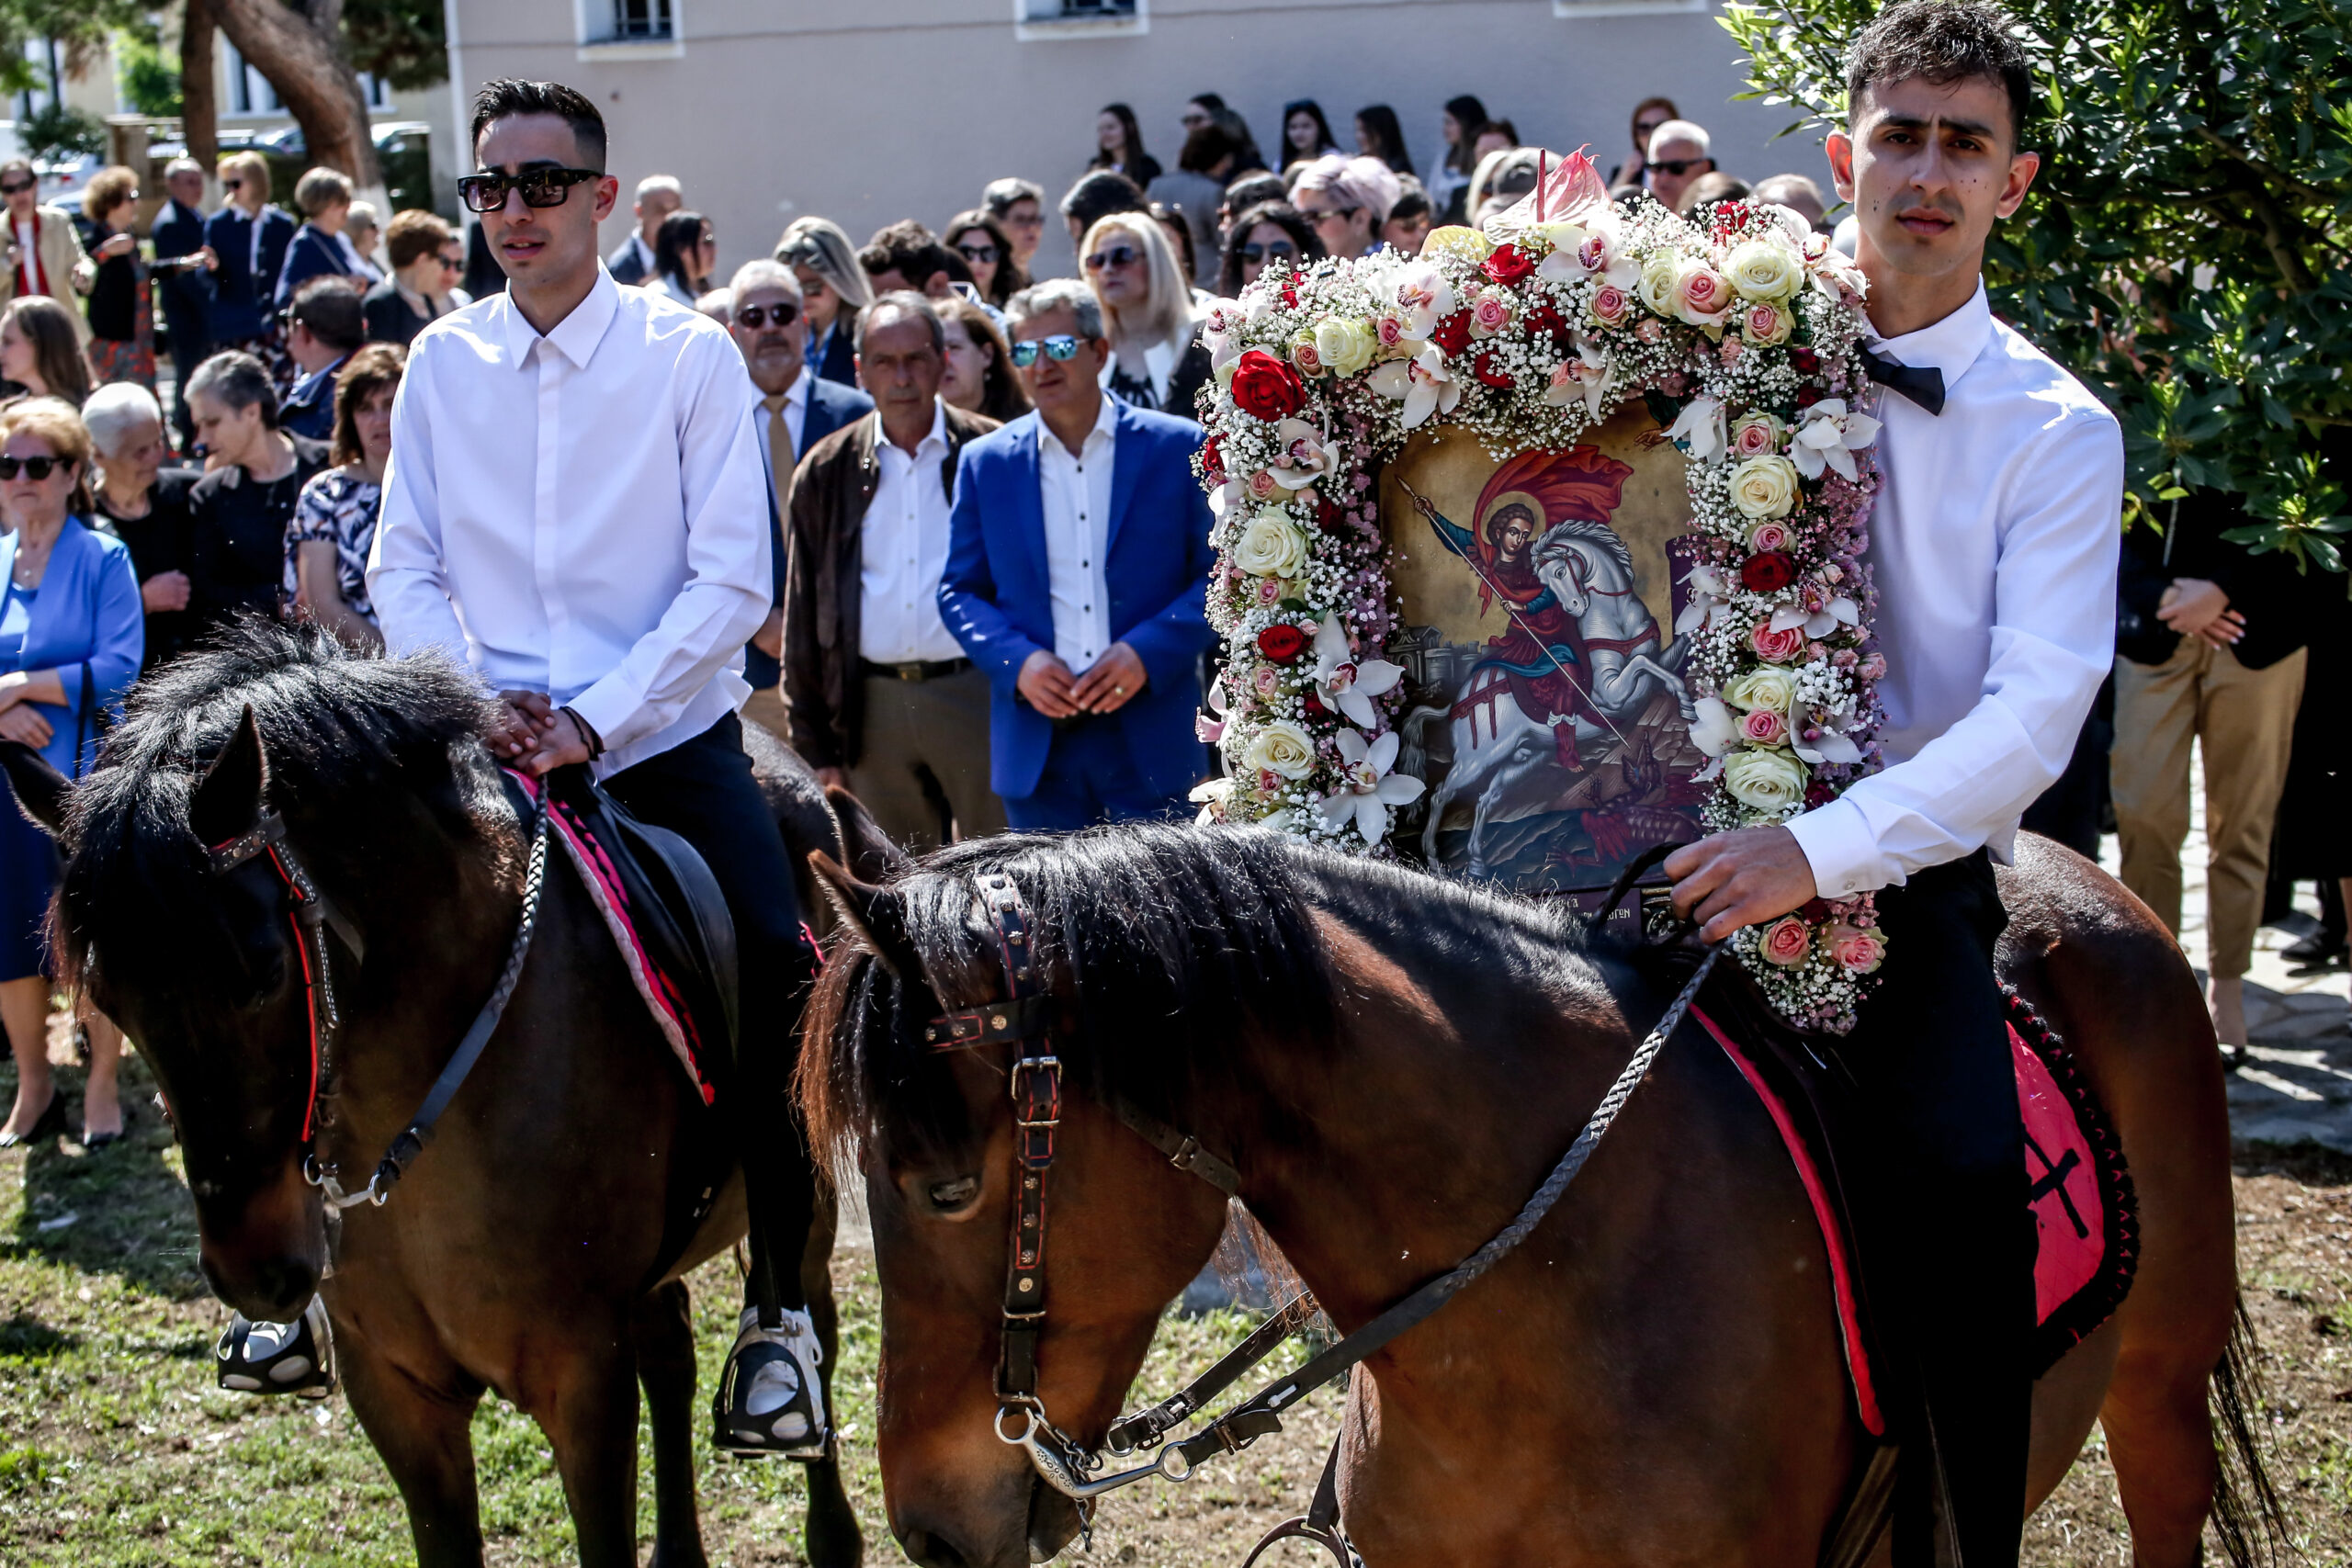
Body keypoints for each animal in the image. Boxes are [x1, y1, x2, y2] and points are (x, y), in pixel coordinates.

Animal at [0, 625, 875, 1568]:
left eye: (265, 971)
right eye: (107, 998)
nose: (256, 1275)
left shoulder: (583, 1380)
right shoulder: (396, 1388)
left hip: (802, 1215)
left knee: (811, 1326)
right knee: (670, 1346)